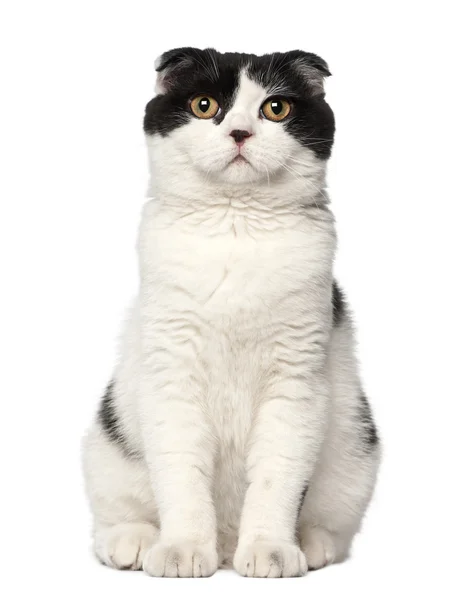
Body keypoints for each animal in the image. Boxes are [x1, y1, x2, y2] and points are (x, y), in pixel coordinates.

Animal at [82, 47, 378, 576]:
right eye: (204, 105)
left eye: (276, 108)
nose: (240, 132)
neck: (235, 222)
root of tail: (225, 541)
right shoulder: (172, 375)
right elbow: (181, 475)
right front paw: (181, 550)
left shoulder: (295, 383)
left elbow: (278, 478)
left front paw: (271, 550)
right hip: (107, 442)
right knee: (118, 509)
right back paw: (135, 540)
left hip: (355, 451)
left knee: (332, 521)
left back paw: (311, 543)